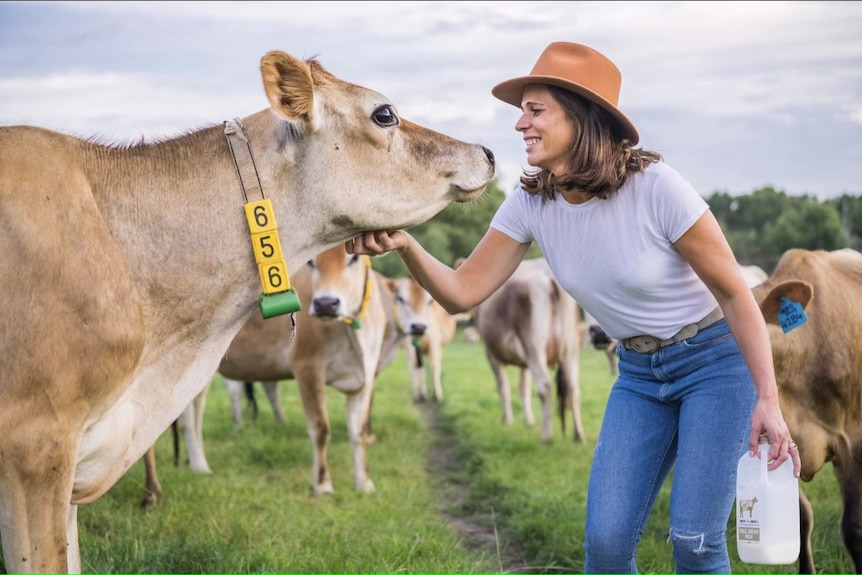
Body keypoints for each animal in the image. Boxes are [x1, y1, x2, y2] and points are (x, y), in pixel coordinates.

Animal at [219, 246, 402, 496]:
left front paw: (364, 482)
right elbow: (320, 429)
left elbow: (358, 431)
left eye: (354, 258)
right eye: (311, 261)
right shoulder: (307, 367)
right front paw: (322, 484)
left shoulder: (367, 374)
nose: (325, 303)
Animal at [472, 258, 588, 444]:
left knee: (545, 386)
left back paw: (546, 436)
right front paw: (529, 421)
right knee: (573, 388)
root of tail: (547, 272)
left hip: (534, 346)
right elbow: (523, 388)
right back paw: (578, 435)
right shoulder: (524, 363)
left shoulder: (492, 355)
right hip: (571, 346)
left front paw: (507, 420)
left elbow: (503, 387)